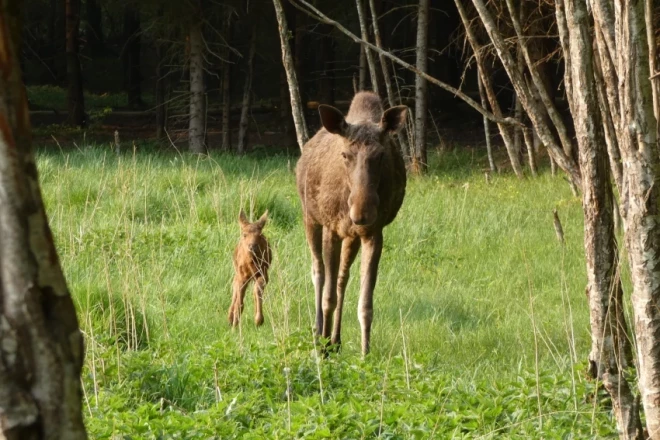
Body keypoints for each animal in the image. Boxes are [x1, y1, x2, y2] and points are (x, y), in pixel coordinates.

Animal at [296, 92, 408, 354]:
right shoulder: (331, 228)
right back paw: (319, 333)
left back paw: (335, 339)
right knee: (317, 271)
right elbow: (328, 298)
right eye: (345, 155)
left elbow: (365, 305)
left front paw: (365, 354)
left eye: (381, 155)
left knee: (341, 278)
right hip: (310, 219)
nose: (361, 212)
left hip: (351, 236)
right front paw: (322, 350)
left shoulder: (373, 233)